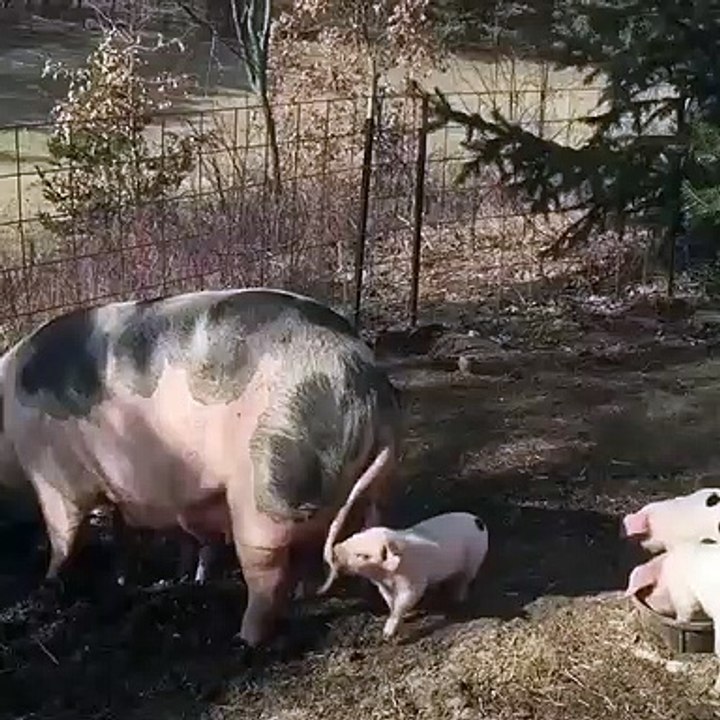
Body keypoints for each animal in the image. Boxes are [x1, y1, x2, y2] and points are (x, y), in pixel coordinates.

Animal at [0, 287, 402, 647]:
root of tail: (368, 389)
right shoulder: (120, 492)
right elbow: (123, 534)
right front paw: (127, 580)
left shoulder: (53, 477)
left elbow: (63, 534)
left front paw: (48, 583)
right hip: (366, 488)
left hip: (268, 486)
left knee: (267, 576)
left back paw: (243, 640)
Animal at [322, 511, 488, 639]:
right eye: (356, 535)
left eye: (363, 556)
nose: (335, 548)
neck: (387, 575)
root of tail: (478, 521)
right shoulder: (383, 586)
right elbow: (390, 601)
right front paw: (404, 616)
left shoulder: (414, 582)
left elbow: (403, 601)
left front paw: (387, 635)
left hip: (474, 561)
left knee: (464, 580)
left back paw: (458, 599)